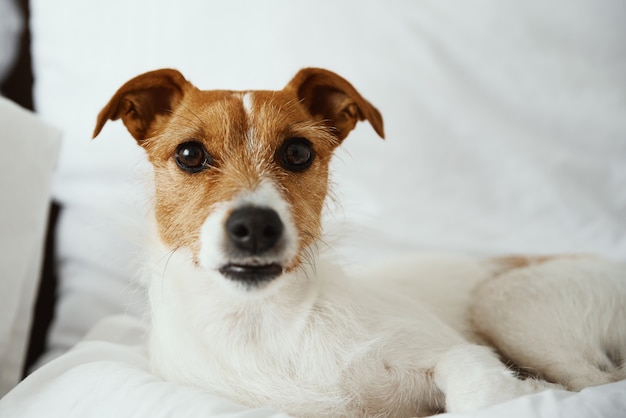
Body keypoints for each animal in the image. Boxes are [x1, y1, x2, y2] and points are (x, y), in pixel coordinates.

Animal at [92, 68, 624, 414]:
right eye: (189, 154)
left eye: (298, 151)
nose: (256, 226)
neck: (264, 326)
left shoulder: (456, 355)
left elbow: (484, 395)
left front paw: (521, 392)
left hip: (506, 304)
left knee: (597, 381)